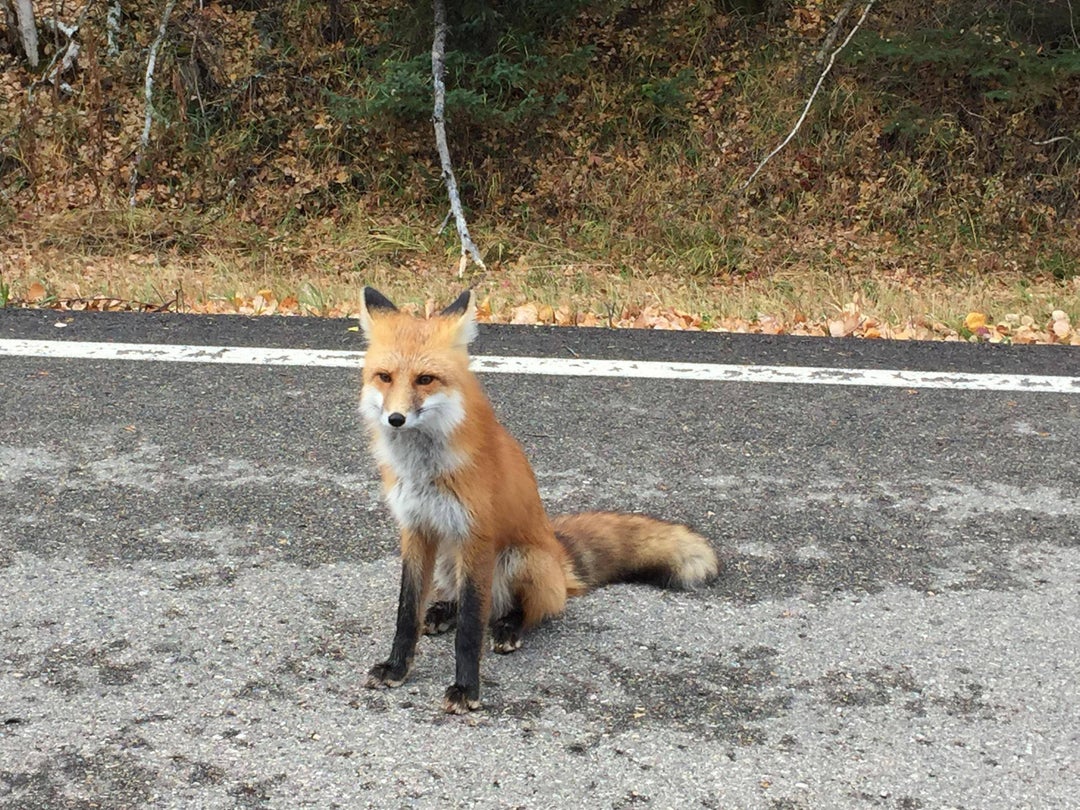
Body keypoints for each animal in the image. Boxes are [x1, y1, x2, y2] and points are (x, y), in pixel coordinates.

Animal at [358, 289, 721, 712]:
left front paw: (467, 688)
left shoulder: (477, 536)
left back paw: (508, 627)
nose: (395, 419)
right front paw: (397, 667)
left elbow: (470, 628)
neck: (423, 470)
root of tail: (558, 554)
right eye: (385, 377)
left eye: (425, 379)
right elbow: (406, 612)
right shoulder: (416, 529)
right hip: (451, 558)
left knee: (530, 610)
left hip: (519, 558)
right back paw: (442, 610)